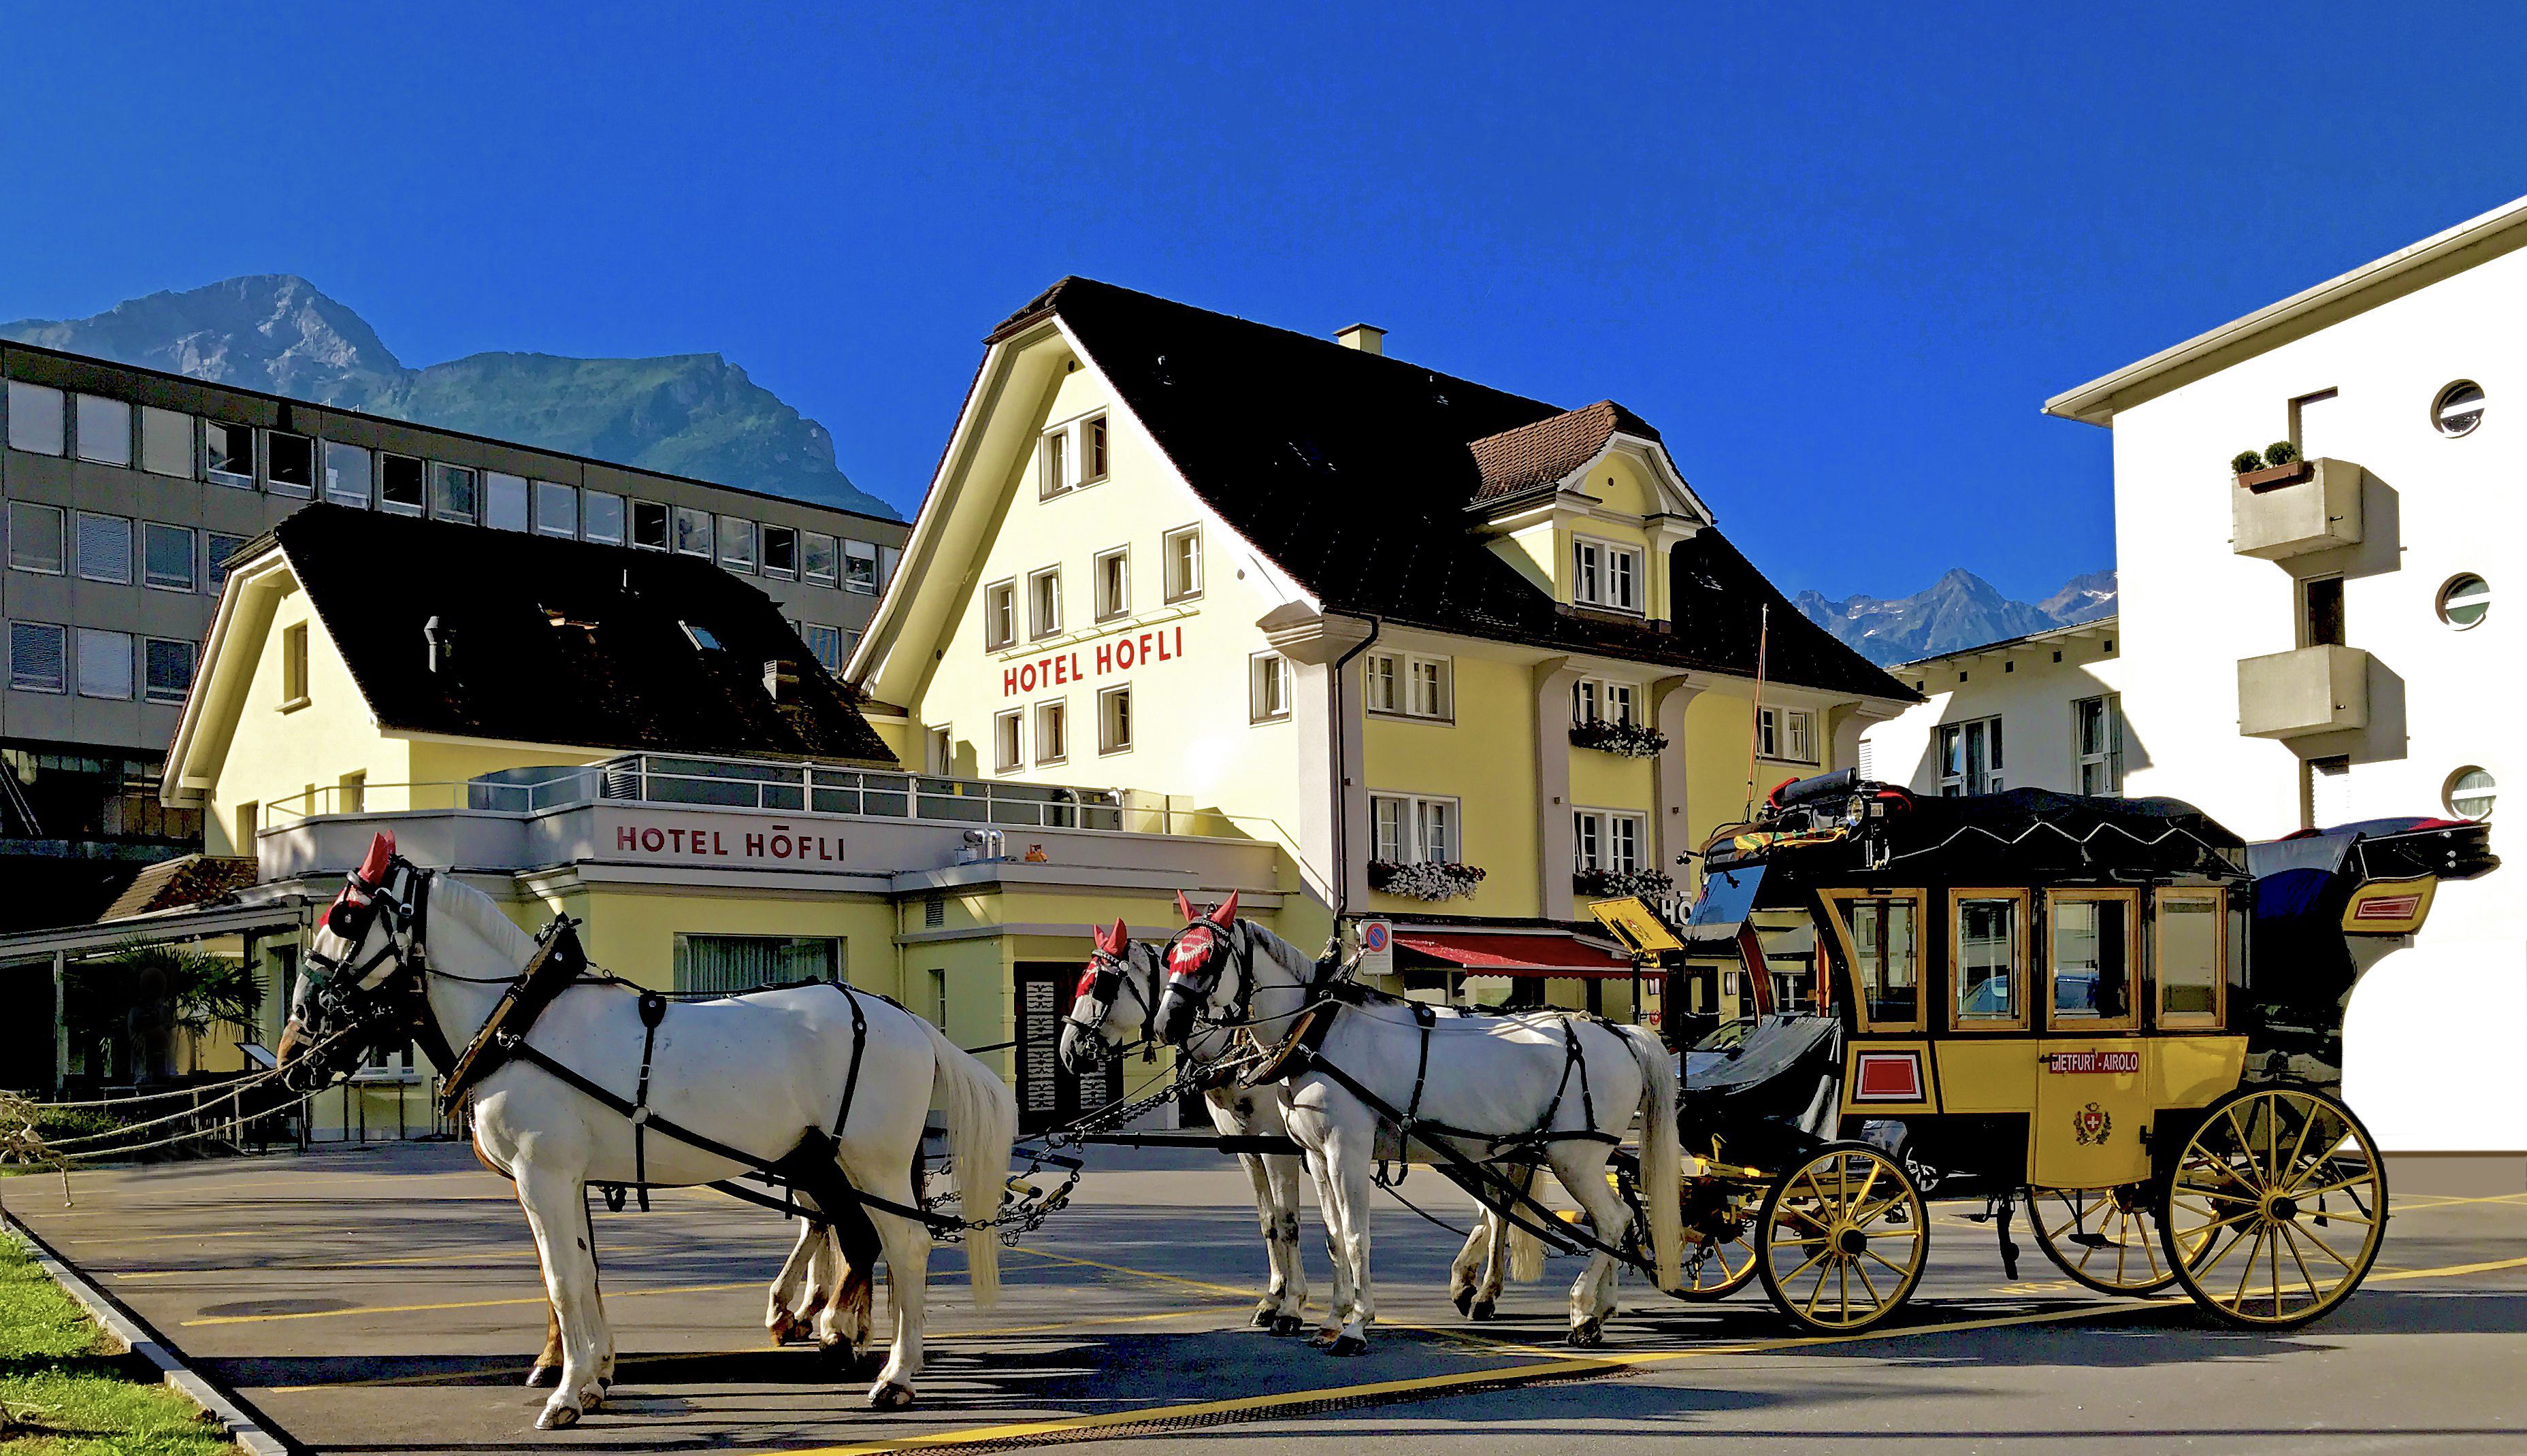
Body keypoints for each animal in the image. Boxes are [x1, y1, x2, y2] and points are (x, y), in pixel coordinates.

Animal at [279, 834, 1015, 1425]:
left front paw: (567, 1394)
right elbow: (582, 1271)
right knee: (853, 1232)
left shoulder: (543, 1175)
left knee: (905, 1245)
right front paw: (592, 1376)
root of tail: (907, 1019)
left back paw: (894, 1373)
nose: (295, 1041)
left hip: (873, 1162)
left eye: (346, 916)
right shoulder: (564, 1178)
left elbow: (562, 1279)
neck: (522, 1020)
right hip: (826, 1160)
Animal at [1157, 899, 1678, 1355]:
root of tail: (1622, 1032)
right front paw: (1331, 1319)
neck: (1319, 1029)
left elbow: (1354, 1236)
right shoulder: (1316, 1156)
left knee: (1612, 1220)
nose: (1167, 1024)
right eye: (1171, 956)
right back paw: (1594, 1308)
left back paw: (1581, 1308)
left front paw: (1355, 1325)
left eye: (1208, 957)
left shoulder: (1344, 1149)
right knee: (1572, 1219)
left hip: (1575, 1157)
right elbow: (1332, 1236)